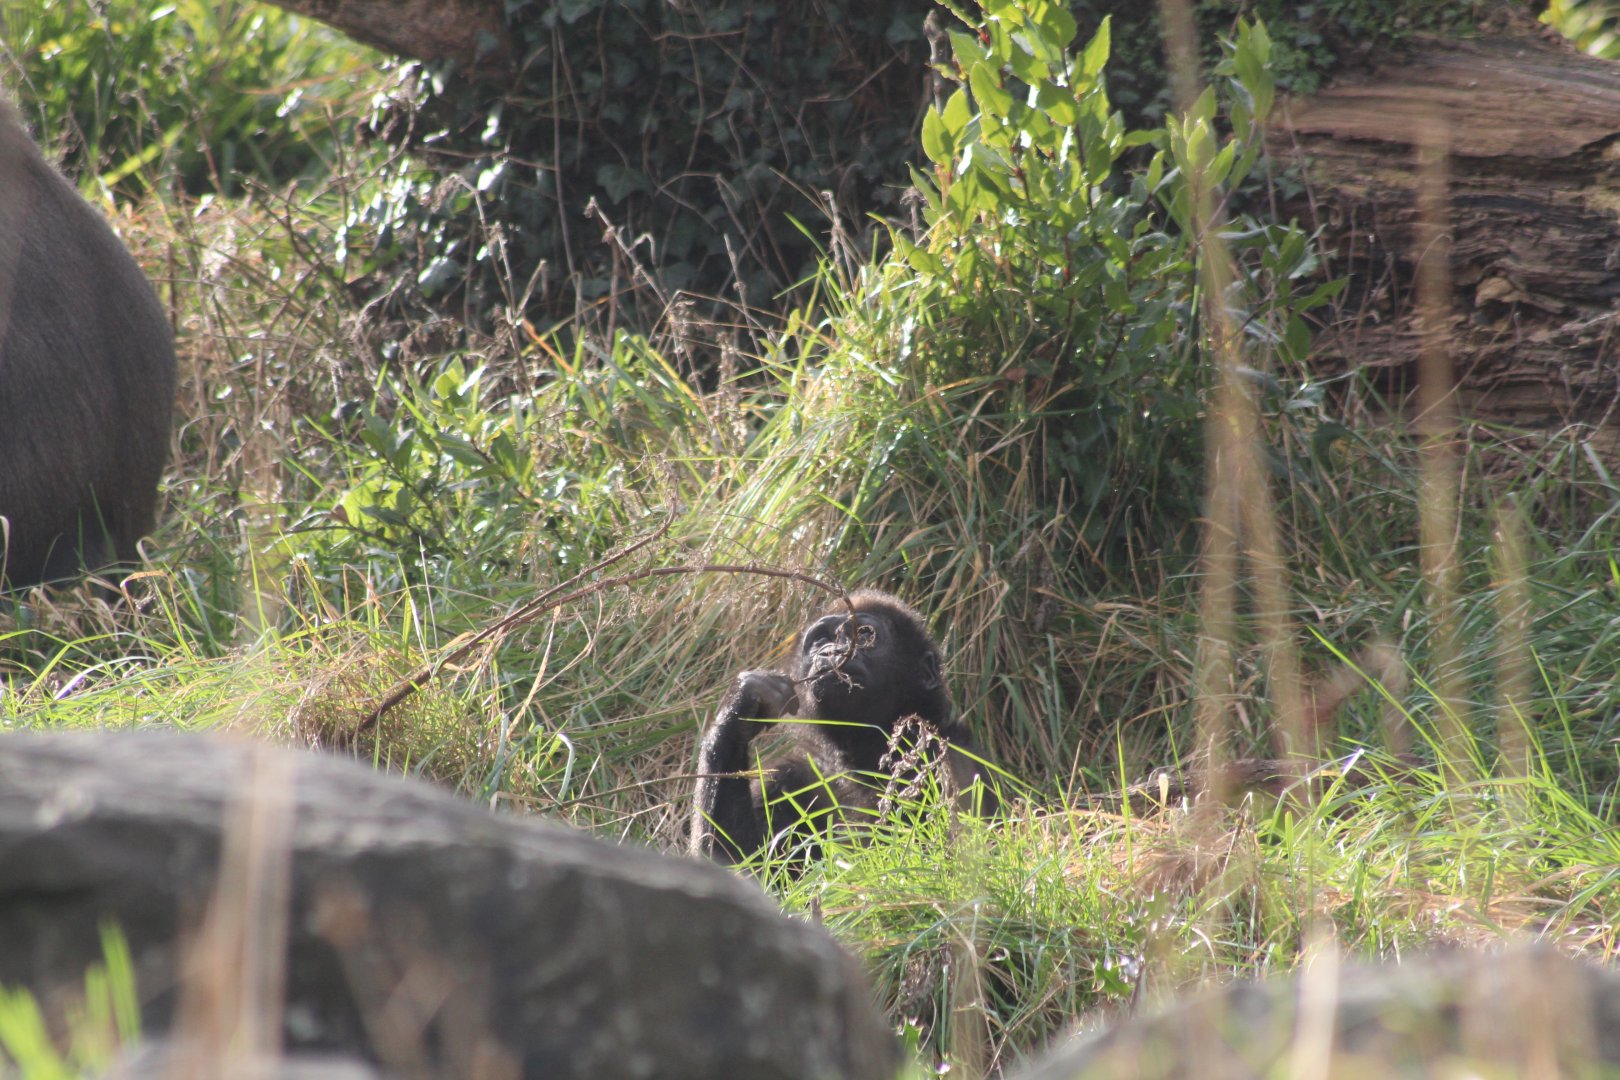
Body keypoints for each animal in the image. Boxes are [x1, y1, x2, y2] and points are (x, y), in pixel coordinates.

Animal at [691, 589, 998, 865]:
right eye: (820, 640)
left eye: (864, 634)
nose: (831, 652)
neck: (865, 757)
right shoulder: (782, 777)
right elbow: (740, 868)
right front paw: (739, 708)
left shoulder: (956, 759)